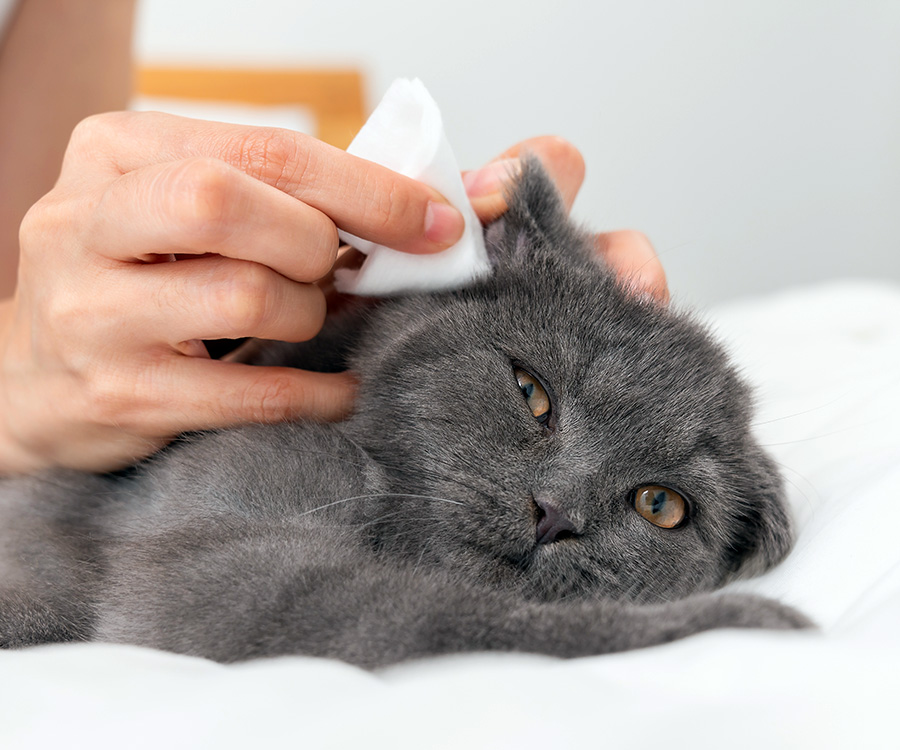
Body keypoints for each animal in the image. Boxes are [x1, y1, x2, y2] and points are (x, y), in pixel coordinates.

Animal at [0, 160, 808, 668]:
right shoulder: (215, 561)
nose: (555, 512)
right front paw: (732, 622)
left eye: (660, 506)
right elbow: (446, 616)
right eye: (531, 392)